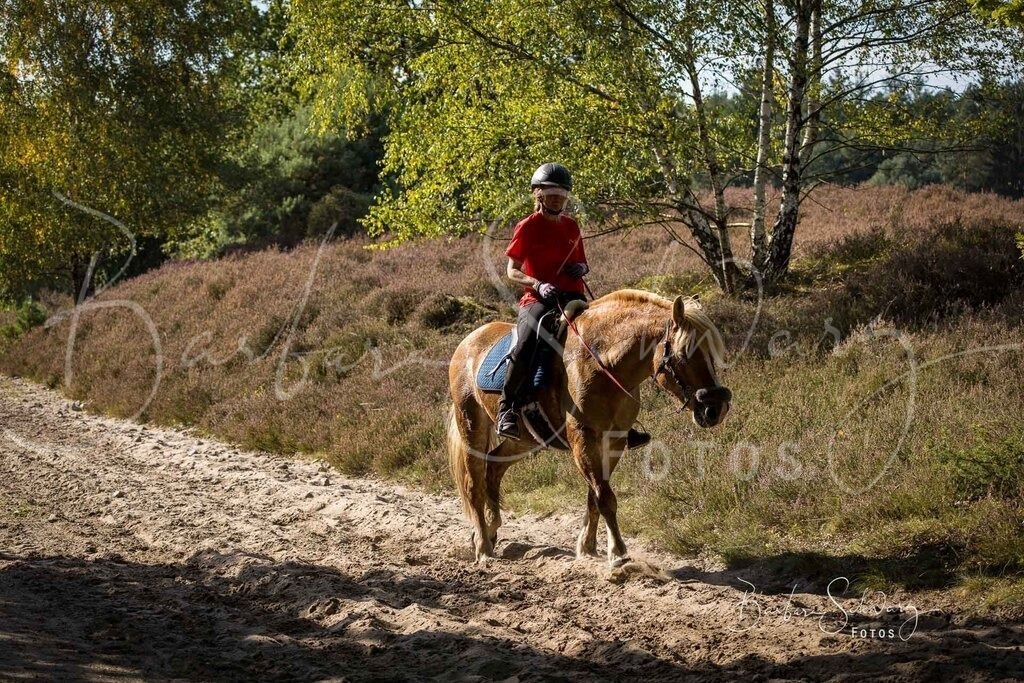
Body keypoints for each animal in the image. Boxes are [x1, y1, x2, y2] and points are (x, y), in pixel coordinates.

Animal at [446, 288, 732, 566]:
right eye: (684, 354)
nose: (716, 408)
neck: (602, 362)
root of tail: (468, 341)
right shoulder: (583, 440)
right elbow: (605, 497)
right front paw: (617, 552)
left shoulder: (613, 442)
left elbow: (595, 496)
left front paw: (588, 546)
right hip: (472, 427)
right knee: (474, 485)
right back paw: (483, 547)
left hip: (525, 439)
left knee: (494, 467)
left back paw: (491, 528)